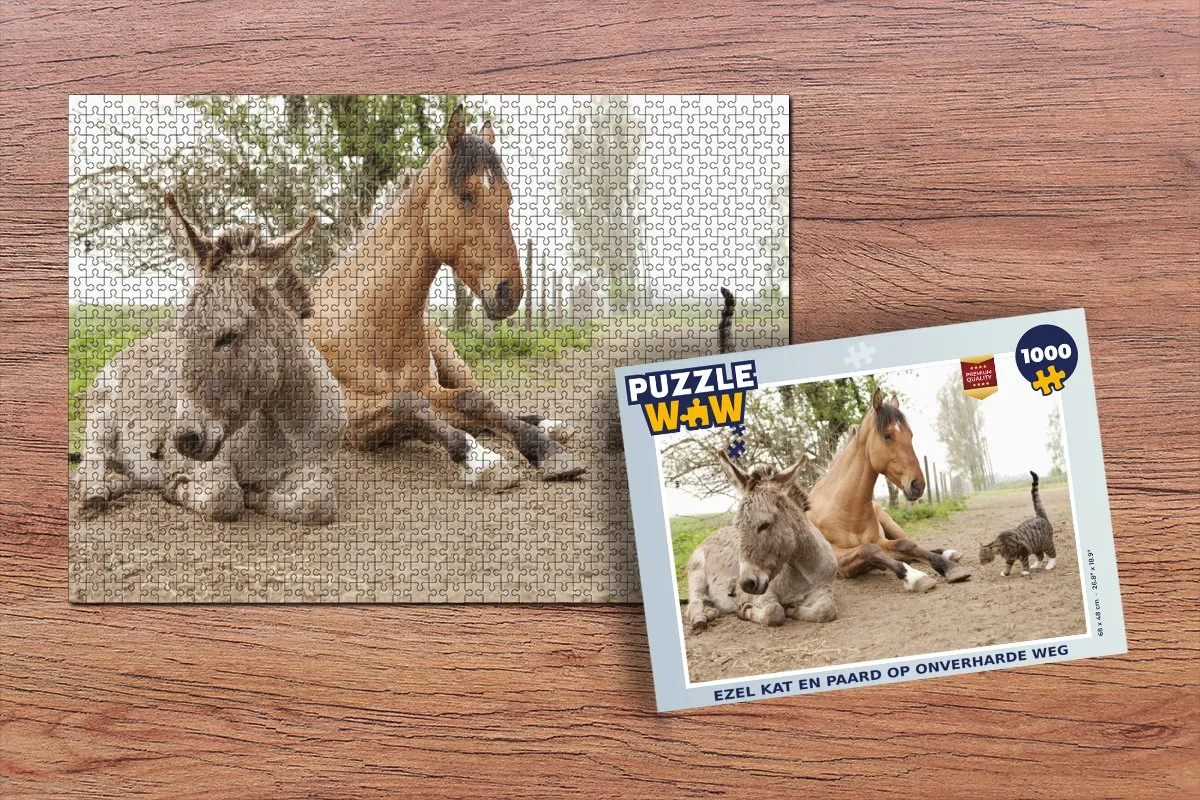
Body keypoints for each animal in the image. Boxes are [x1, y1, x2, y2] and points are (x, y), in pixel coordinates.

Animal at [76, 191, 344, 524]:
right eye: (181, 331)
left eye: (228, 335)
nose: (182, 440)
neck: (283, 426)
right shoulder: (210, 463)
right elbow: (225, 497)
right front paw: (177, 488)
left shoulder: (320, 465)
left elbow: (318, 501)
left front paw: (260, 496)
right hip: (101, 415)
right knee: (88, 461)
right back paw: (97, 491)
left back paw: (119, 483)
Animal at [305, 105, 582, 491]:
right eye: (466, 195)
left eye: (508, 197)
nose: (509, 292)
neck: (368, 321)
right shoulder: (354, 422)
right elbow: (411, 406)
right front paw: (483, 461)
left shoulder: (431, 389)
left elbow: (476, 401)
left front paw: (544, 450)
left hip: (452, 360)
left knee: (483, 402)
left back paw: (548, 426)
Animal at [685, 451, 838, 630]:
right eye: (737, 527)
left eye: (764, 525)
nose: (746, 584)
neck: (803, 571)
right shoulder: (764, 594)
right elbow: (774, 612)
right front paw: (745, 610)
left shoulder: (824, 588)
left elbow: (827, 609)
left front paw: (793, 608)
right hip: (697, 575)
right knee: (694, 602)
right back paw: (700, 619)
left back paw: (710, 612)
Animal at [807, 389, 971, 592]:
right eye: (887, 435)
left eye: (910, 435)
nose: (918, 485)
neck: (843, 507)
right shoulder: (840, 559)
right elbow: (870, 549)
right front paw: (915, 577)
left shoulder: (882, 541)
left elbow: (907, 545)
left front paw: (949, 568)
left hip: (891, 524)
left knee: (912, 543)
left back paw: (948, 554)